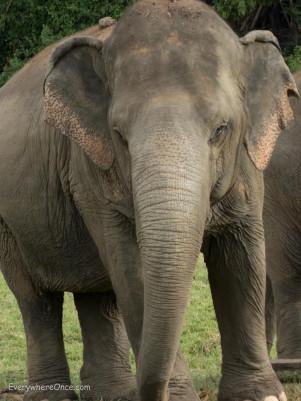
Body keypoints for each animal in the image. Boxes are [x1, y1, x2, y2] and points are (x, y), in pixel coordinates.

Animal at [0, 0, 296, 400]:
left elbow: (241, 259)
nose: (155, 389)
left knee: (97, 297)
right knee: (36, 299)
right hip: (8, 225)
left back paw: (114, 393)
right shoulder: (89, 168)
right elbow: (131, 267)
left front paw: (262, 395)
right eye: (120, 135)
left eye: (221, 129)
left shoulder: (249, 165)